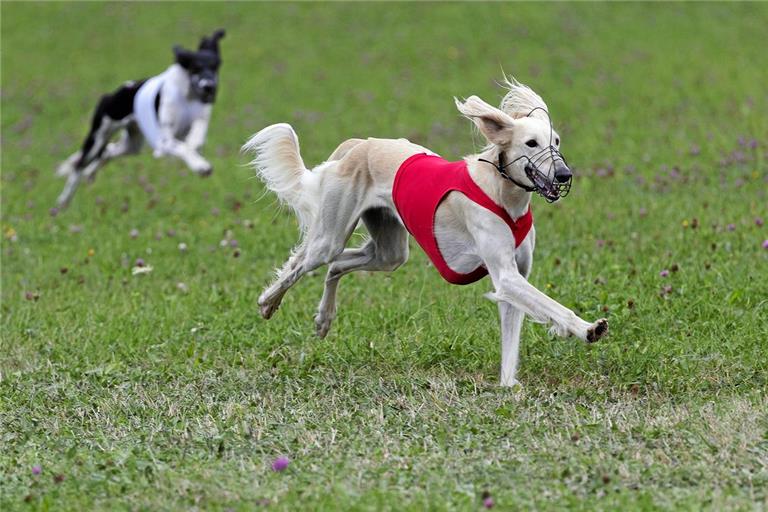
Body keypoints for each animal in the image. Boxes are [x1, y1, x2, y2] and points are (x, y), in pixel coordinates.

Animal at [55, 29, 225, 209]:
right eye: (195, 67)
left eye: (215, 66)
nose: (209, 87)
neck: (188, 96)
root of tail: (113, 93)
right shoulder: (164, 142)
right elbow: (183, 148)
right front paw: (201, 166)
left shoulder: (200, 117)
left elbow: (197, 134)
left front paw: (196, 148)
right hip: (97, 140)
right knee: (78, 166)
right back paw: (63, 202)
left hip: (131, 145)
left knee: (108, 151)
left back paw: (90, 173)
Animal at [243, 79, 608, 384]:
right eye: (531, 143)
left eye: (556, 141)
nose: (564, 174)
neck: (503, 194)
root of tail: (360, 145)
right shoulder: (506, 276)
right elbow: (554, 307)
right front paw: (589, 328)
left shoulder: (515, 275)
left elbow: (511, 340)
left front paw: (507, 388)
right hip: (330, 237)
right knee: (303, 261)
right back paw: (267, 303)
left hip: (390, 251)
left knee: (336, 266)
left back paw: (323, 319)